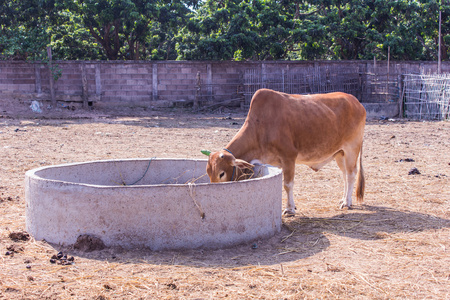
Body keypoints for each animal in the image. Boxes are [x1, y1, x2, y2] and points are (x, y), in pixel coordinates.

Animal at [206, 88, 368, 216]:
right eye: (208, 173)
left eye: (221, 173)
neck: (260, 127)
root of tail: (356, 102)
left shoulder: (289, 157)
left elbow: (288, 184)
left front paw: (290, 209)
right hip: (340, 153)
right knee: (345, 175)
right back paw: (344, 198)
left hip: (351, 149)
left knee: (351, 174)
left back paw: (347, 202)